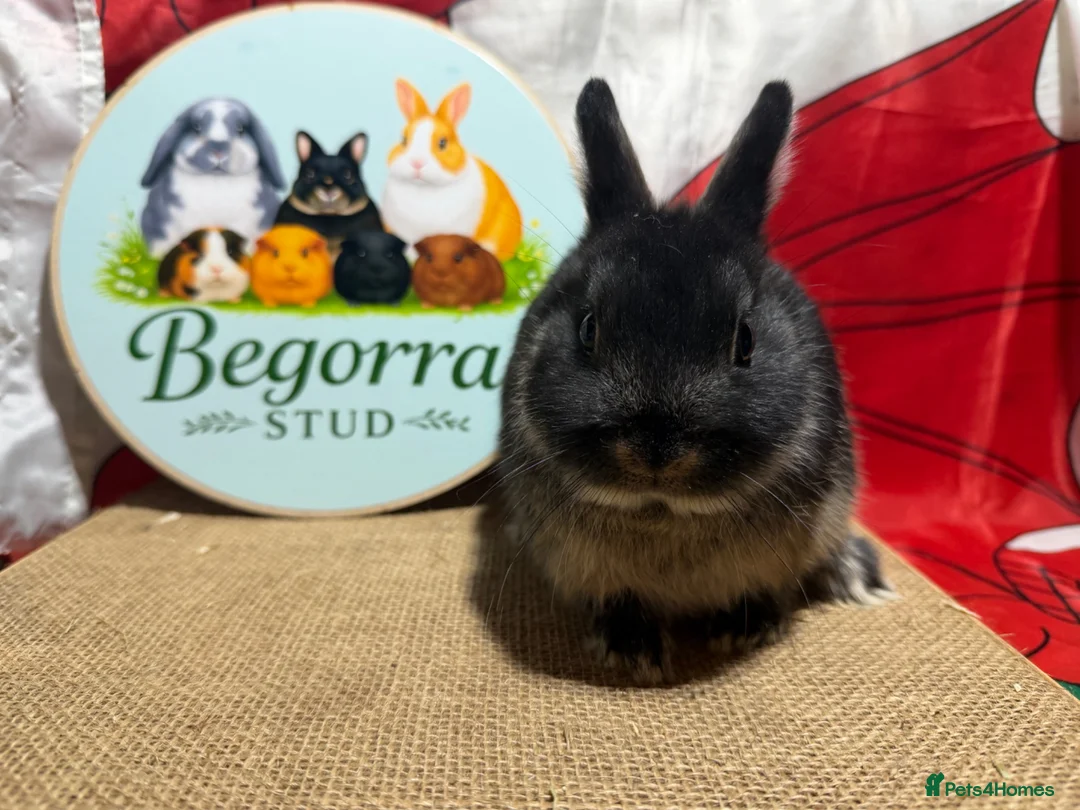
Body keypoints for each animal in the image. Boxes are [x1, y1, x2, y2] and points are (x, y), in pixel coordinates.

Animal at [497, 79, 893, 684]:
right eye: (588, 328)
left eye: (745, 340)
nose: (656, 450)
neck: (664, 512)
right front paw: (632, 650)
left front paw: (747, 627)